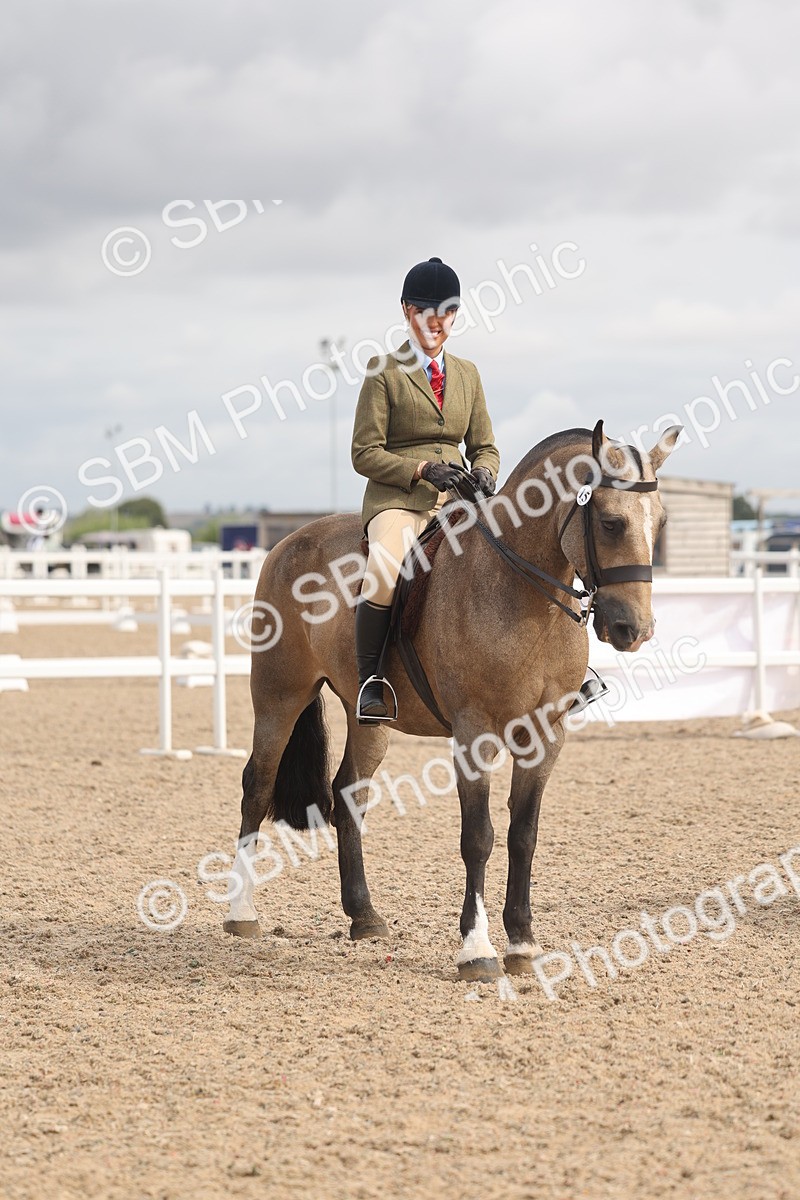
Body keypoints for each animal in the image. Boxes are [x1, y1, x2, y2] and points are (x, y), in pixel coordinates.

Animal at [223, 420, 682, 982]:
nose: (633, 629)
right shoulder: (474, 735)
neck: (522, 596)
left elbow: (524, 833)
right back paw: (242, 913)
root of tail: (288, 541)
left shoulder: (545, 736)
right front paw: (477, 950)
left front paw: (523, 944)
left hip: (368, 718)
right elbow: (478, 836)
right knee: (258, 786)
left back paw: (364, 916)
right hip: (278, 697)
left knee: (348, 793)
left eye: (660, 522)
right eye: (613, 523)